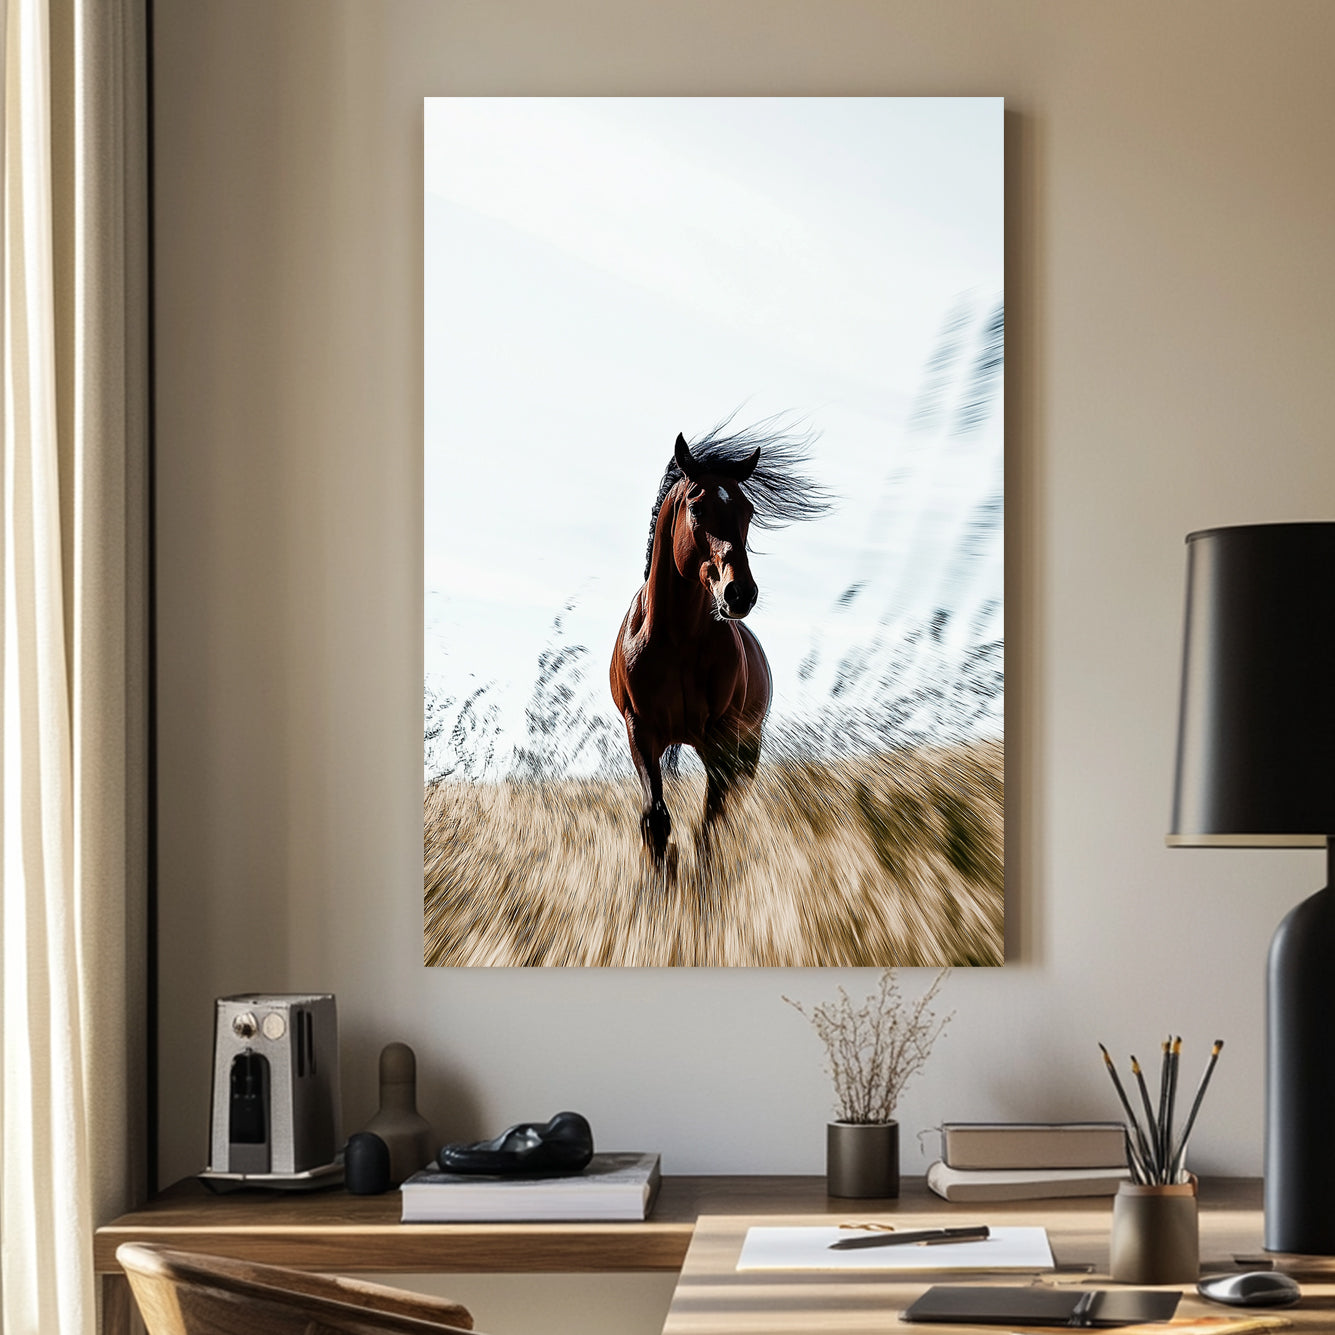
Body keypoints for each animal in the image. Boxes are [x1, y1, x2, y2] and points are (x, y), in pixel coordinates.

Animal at [611, 421, 827, 870]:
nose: (739, 593)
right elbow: (655, 819)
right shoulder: (641, 730)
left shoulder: (721, 738)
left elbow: (709, 825)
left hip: (746, 746)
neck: (675, 639)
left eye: (748, 510)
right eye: (696, 508)